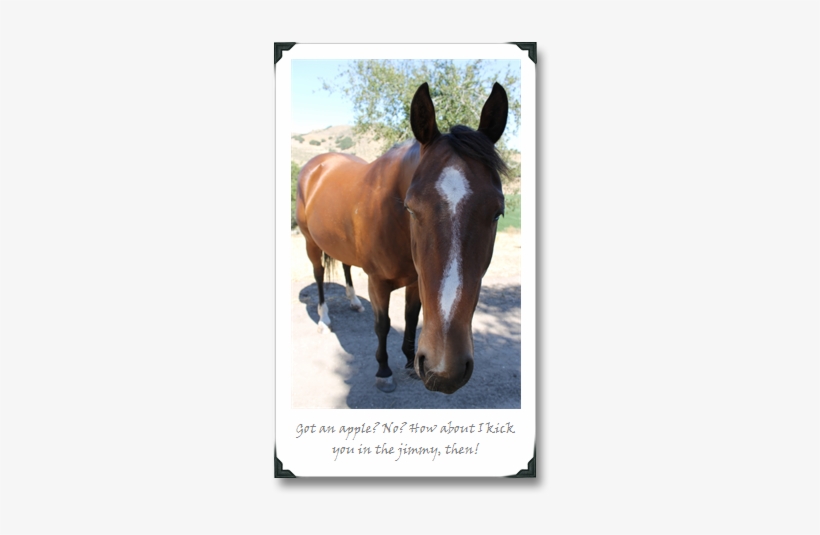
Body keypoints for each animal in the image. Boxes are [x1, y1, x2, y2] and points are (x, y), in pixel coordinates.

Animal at [295, 82, 508, 394]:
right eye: (411, 207)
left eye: (497, 213)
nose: (445, 371)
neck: (393, 218)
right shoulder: (377, 282)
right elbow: (383, 324)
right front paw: (384, 371)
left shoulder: (415, 280)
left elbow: (411, 317)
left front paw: (410, 361)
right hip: (311, 242)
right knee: (320, 274)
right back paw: (324, 319)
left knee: (345, 265)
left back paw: (353, 301)